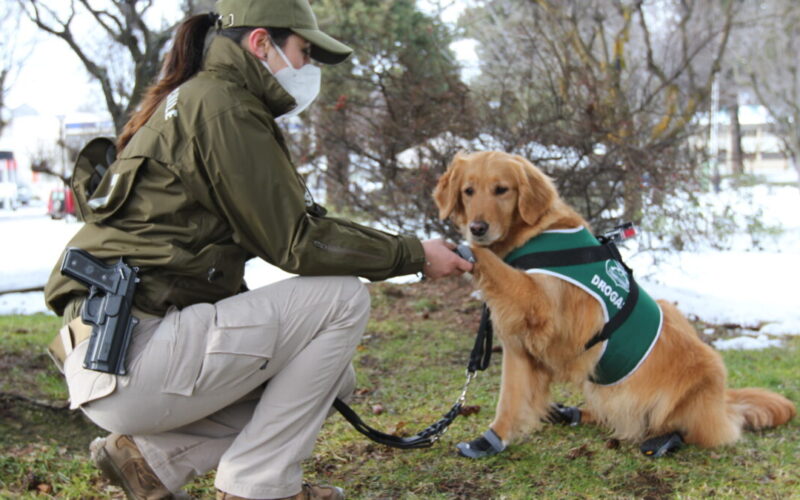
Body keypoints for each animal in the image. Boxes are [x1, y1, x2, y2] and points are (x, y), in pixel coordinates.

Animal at [434, 150, 796, 458]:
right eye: (468, 191)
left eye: (502, 190)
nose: (477, 228)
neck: (532, 233)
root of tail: (723, 403)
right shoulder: (519, 345)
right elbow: (510, 398)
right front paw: (492, 439)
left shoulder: (541, 306)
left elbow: (499, 270)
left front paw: (465, 249)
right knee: (617, 414)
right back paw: (575, 412)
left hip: (702, 370)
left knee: (689, 429)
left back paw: (664, 438)